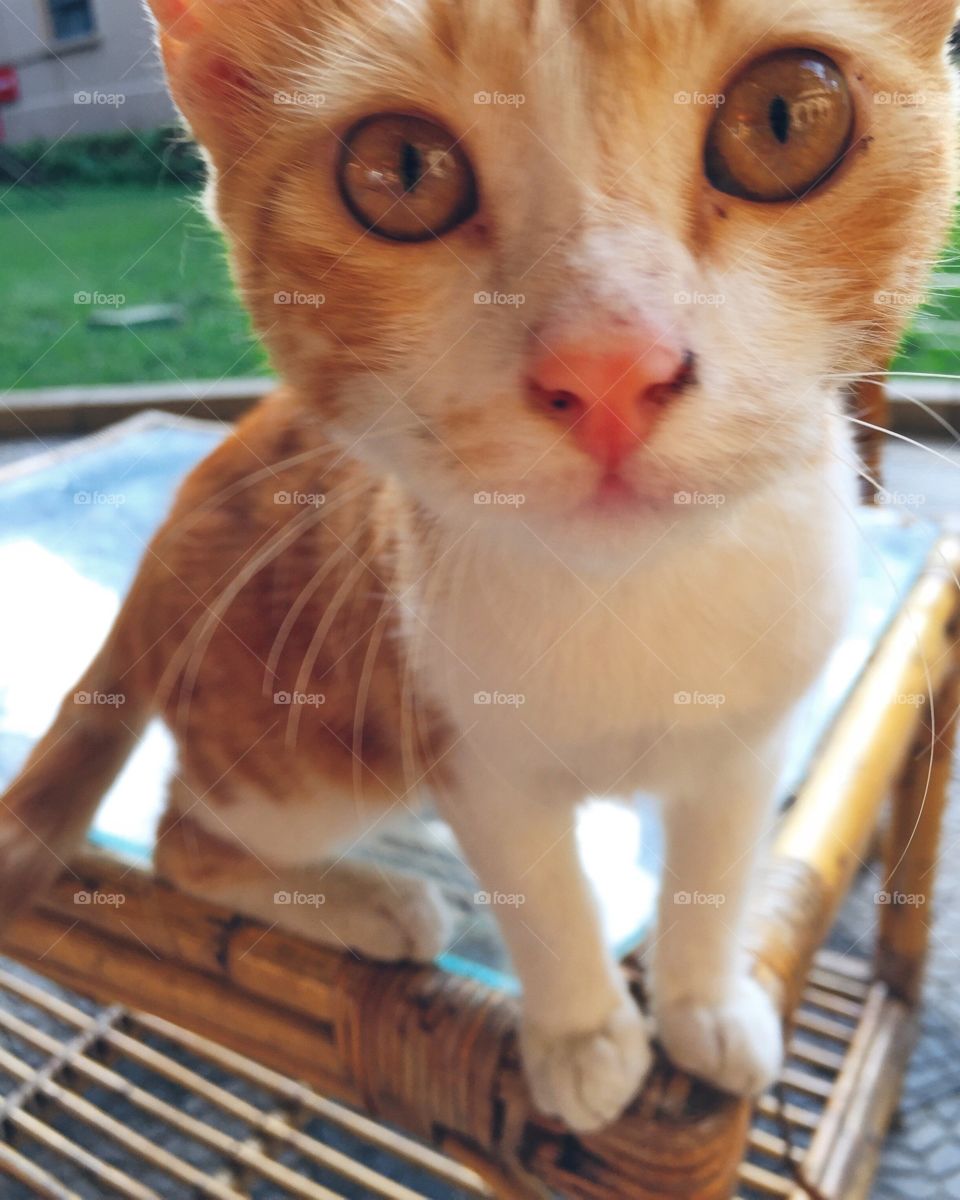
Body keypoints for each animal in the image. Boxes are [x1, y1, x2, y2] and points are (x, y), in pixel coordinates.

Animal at [1, 0, 960, 1132]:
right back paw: (375, 901)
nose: (608, 368)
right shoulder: (463, 742)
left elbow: (718, 865)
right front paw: (584, 1035)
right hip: (313, 750)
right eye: (402, 172)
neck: (632, 600)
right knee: (181, 835)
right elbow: (538, 887)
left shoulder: (753, 733)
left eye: (784, 118)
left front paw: (705, 1002)